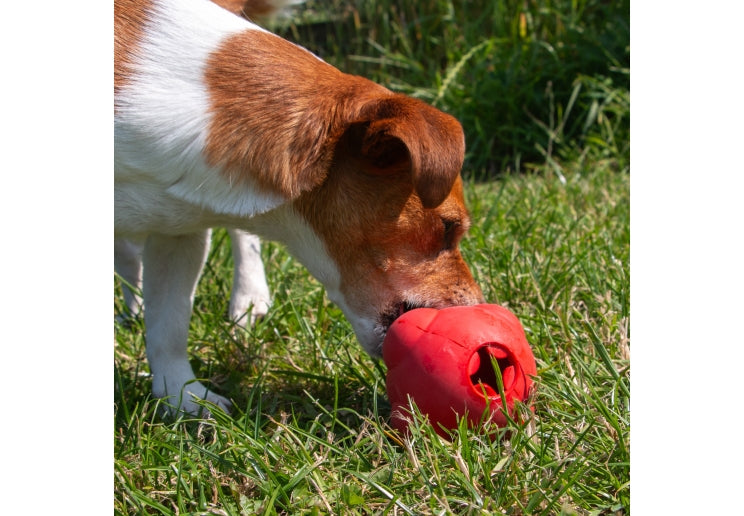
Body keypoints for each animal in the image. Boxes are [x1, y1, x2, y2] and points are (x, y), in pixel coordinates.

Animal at [114, 0, 486, 416]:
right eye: (449, 227)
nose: (481, 309)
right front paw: (185, 402)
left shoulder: (179, 233)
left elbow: (170, 323)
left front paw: (186, 401)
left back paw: (248, 297)